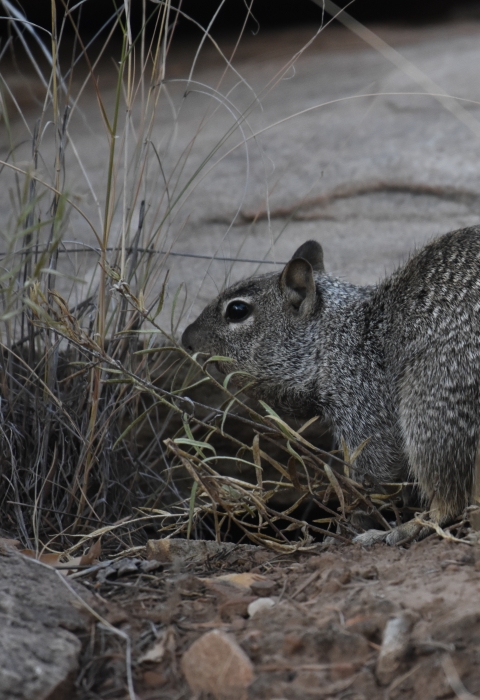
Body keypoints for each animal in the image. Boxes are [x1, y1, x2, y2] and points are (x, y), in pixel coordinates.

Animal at [182, 226, 480, 545]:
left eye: (237, 310)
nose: (186, 339)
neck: (341, 333)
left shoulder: (362, 401)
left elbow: (373, 475)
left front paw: (346, 528)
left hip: (431, 409)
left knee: (449, 501)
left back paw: (401, 529)